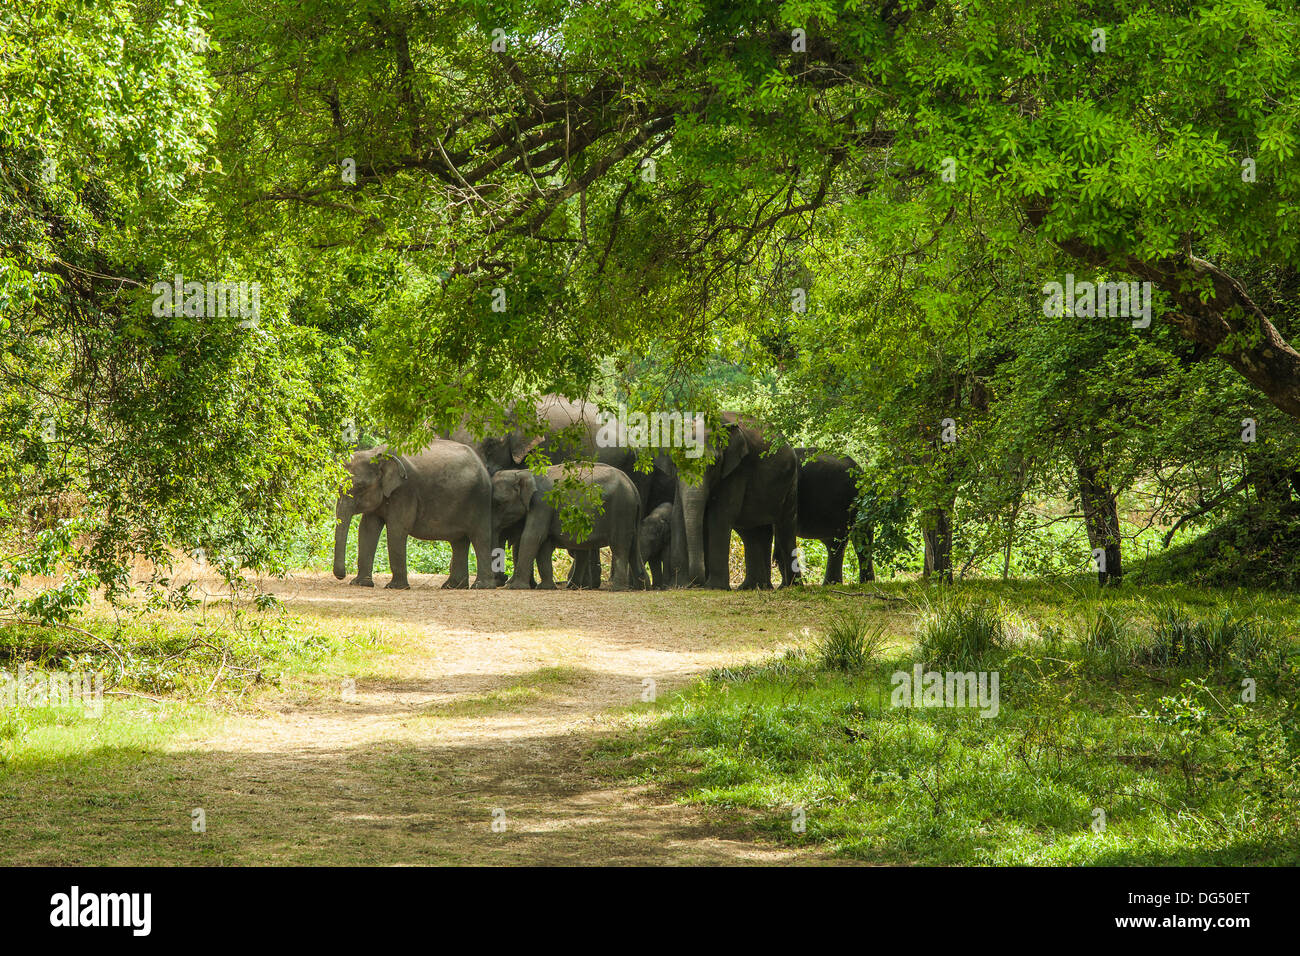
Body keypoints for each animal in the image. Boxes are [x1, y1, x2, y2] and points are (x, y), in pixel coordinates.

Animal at [332, 442, 493, 590]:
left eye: (360, 486)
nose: (341, 576)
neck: (376, 453)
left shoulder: (405, 491)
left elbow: (396, 529)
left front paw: (395, 587)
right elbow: (367, 529)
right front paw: (360, 583)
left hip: (481, 499)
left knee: (481, 538)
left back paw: (480, 586)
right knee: (459, 541)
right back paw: (452, 586)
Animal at [488, 463, 642, 590]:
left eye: (499, 503)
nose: (502, 581)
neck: (525, 472)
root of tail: (633, 486)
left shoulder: (542, 503)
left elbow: (533, 536)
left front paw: (514, 587)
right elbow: (544, 542)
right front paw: (546, 587)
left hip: (621, 510)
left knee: (619, 545)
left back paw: (616, 588)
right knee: (633, 548)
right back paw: (640, 586)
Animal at [670, 413, 800, 590]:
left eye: (715, 463)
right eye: (676, 462)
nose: (697, 583)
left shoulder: (737, 470)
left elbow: (720, 516)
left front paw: (714, 587)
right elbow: (678, 516)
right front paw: (681, 585)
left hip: (790, 483)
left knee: (785, 527)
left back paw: (791, 586)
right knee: (755, 532)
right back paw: (755, 587)